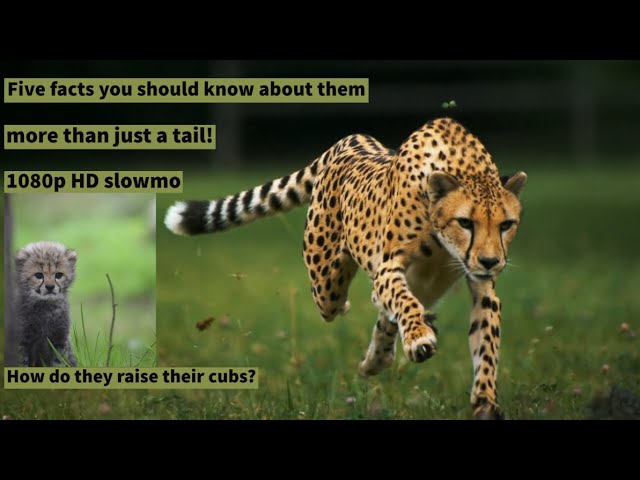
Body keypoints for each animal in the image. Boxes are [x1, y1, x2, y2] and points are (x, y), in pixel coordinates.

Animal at [165, 117, 527, 419]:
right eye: (465, 222)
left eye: (506, 225)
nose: (491, 261)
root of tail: (348, 140)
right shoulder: (388, 268)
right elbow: (404, 303)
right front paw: (418, 337)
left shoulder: (482, 287)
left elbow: (486, 344)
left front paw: (485, 402)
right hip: (327, 285)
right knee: (349, 303)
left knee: (388, 315)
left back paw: (380, 356)